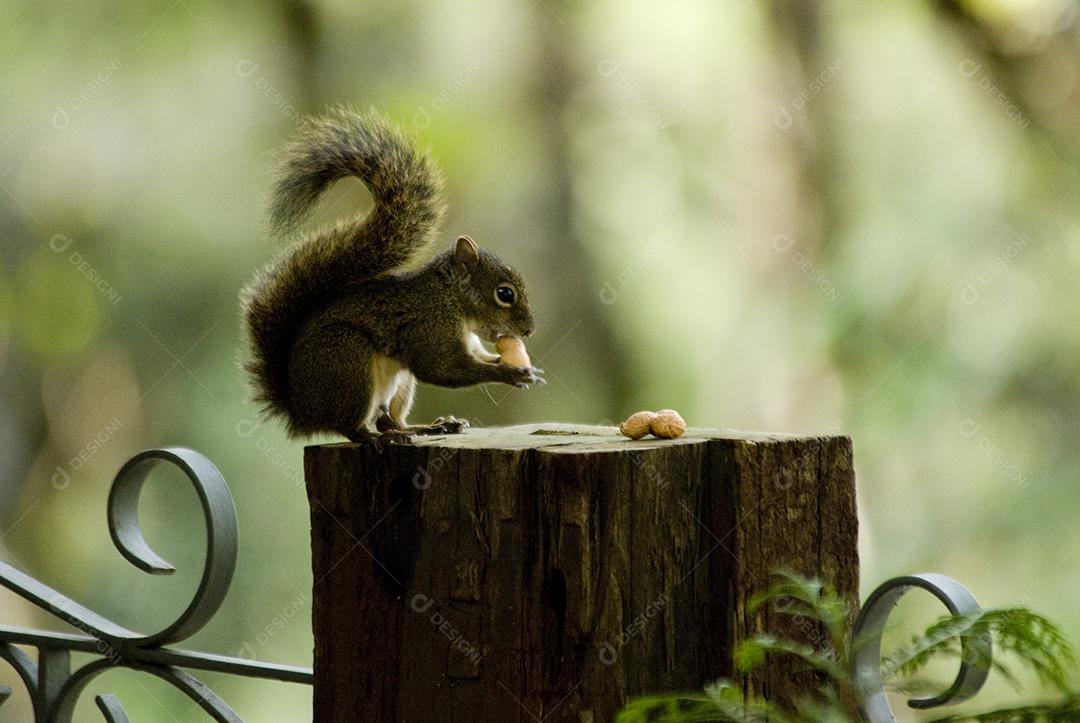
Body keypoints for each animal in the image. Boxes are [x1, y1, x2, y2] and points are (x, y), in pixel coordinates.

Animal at [240, 106, 544, 440]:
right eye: (504, 294)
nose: (528, 331)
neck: (452, 300)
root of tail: (302, 410)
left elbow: (476, 357)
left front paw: (515, 364)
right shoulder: (430, 328)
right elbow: (444, 368)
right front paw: (508, 371)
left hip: (399, 383)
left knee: (388, 419)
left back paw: (427, 427)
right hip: (347, 360)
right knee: (351, 426)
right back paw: (375, 437)